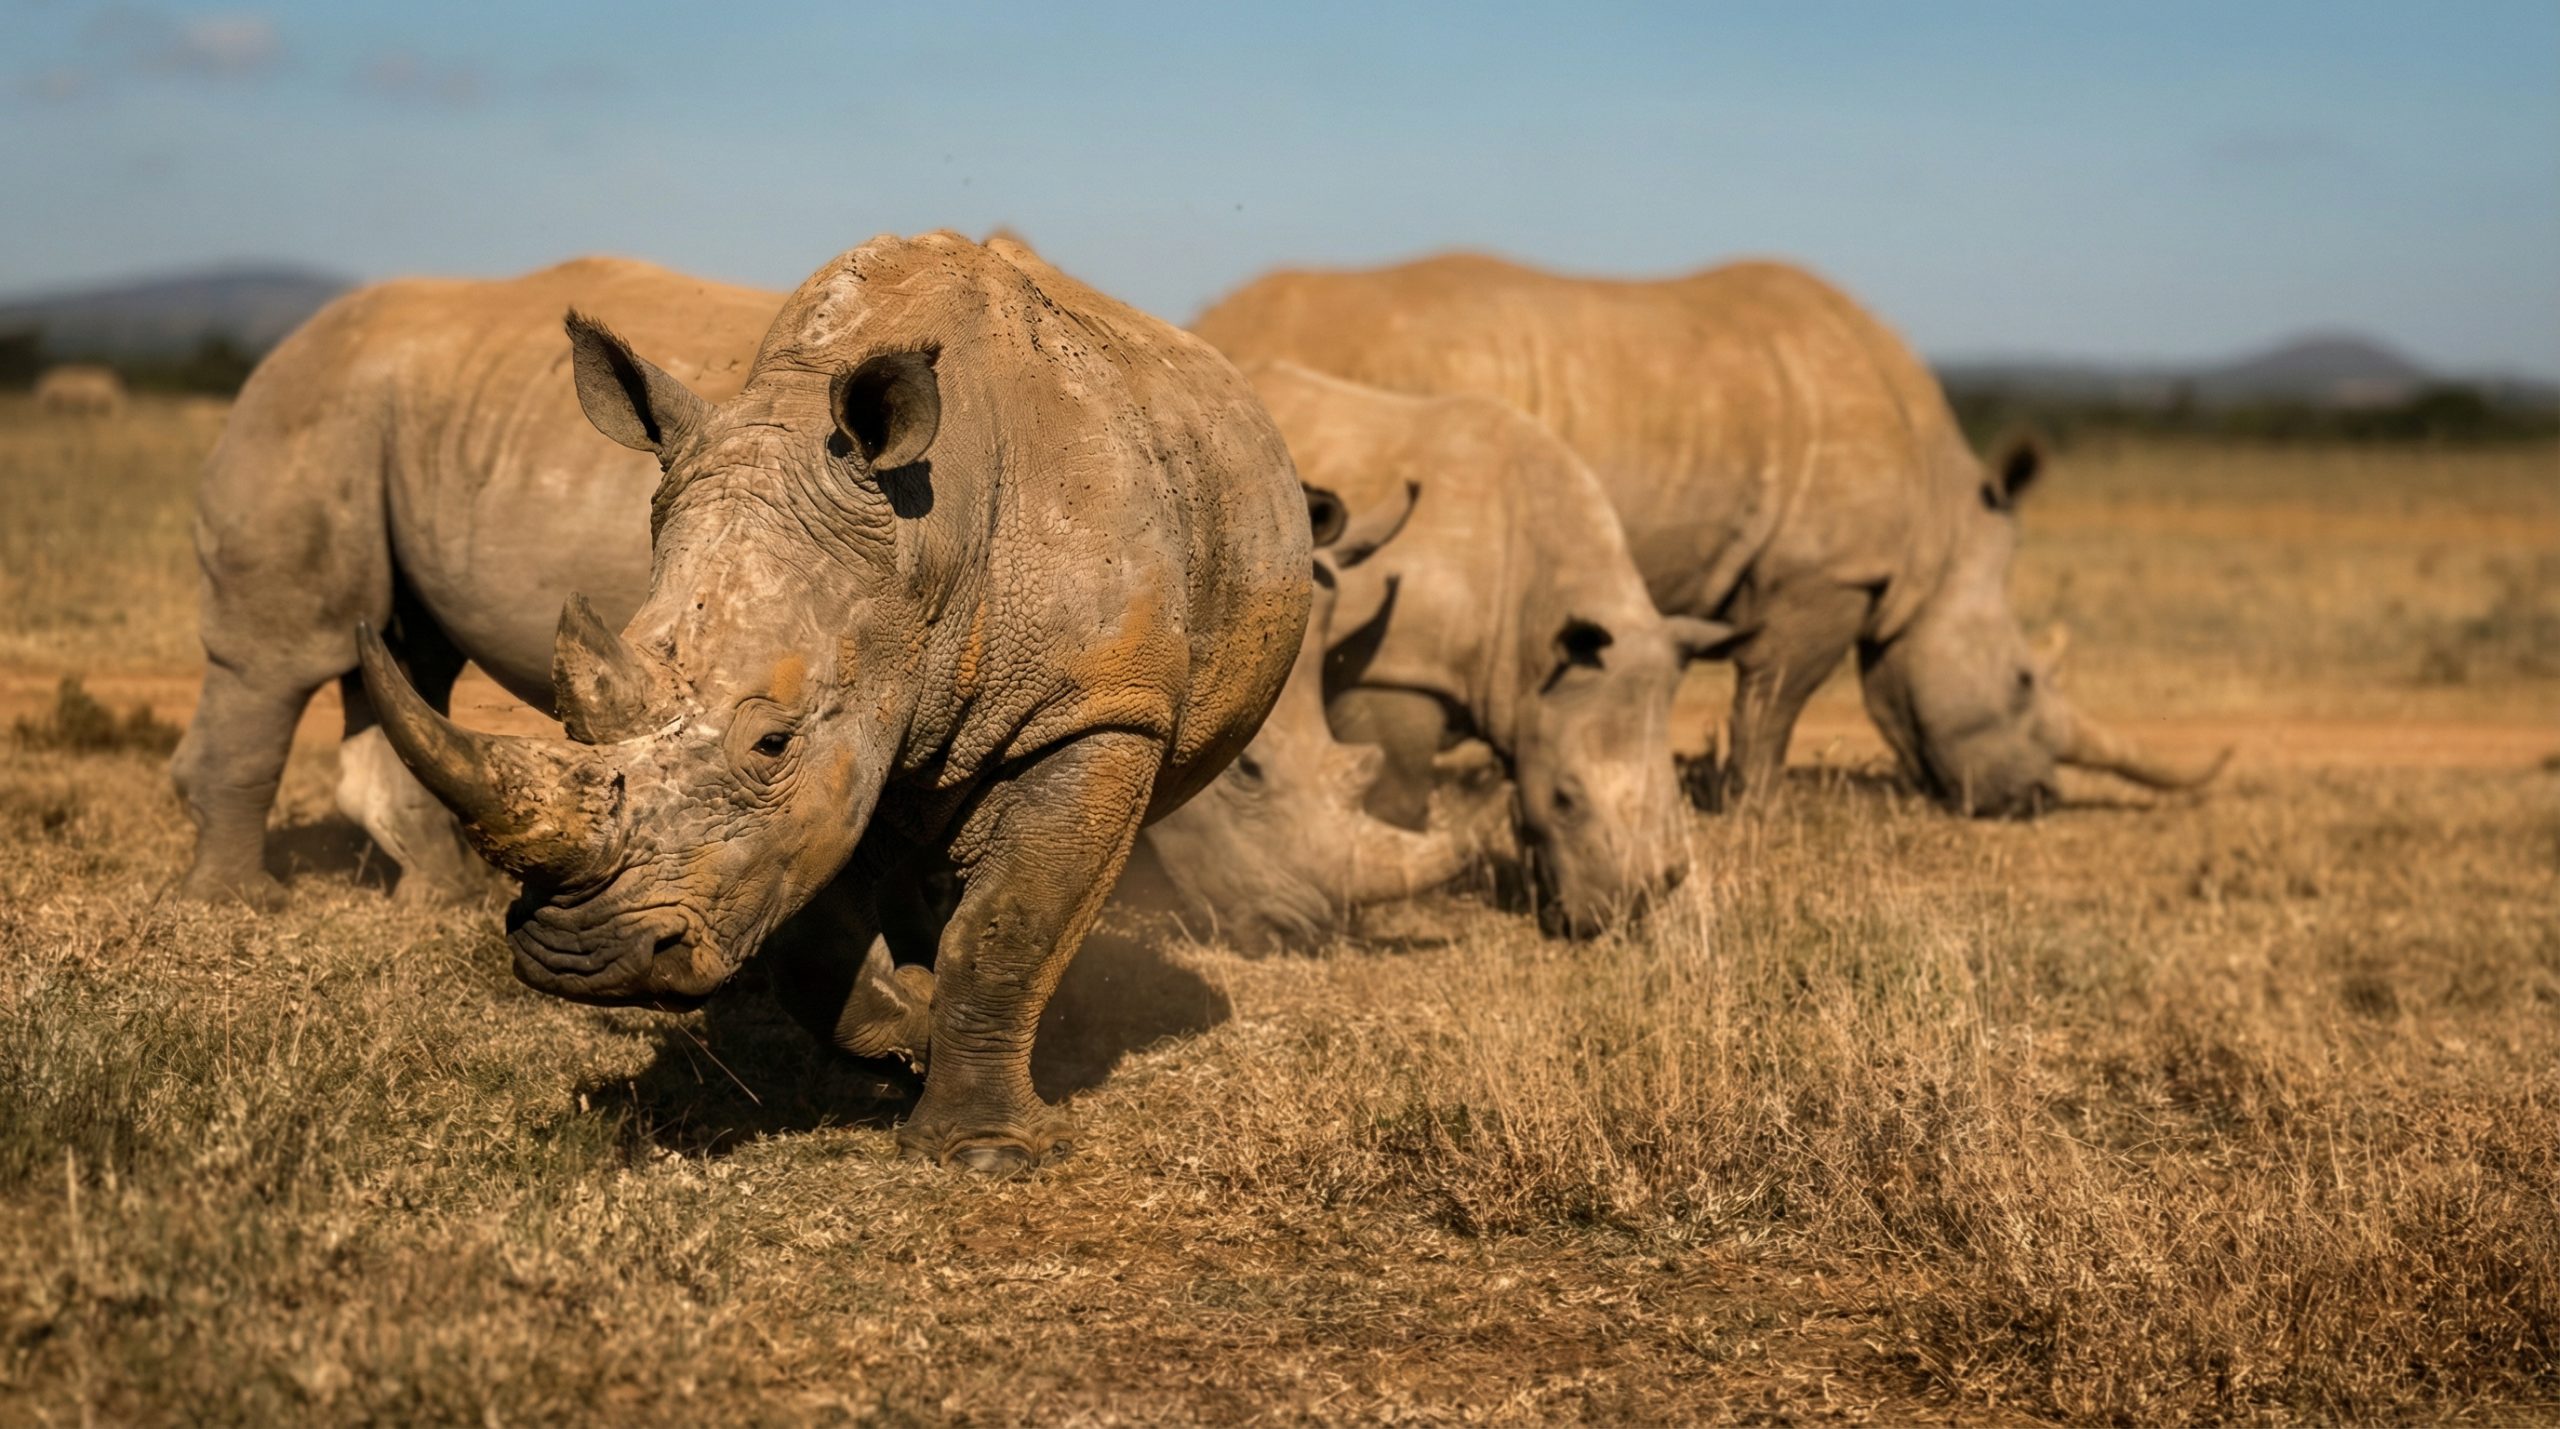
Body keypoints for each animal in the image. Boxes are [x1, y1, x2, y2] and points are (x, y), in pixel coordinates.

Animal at [179, 233, 1311, 1168]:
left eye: (771, 741)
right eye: (579, 710)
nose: (581, 960)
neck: (923, 546)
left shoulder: (1095, 707)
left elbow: (1009, 921)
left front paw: (982, 1149)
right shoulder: (846, 743)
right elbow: (807, 917)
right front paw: (900, 1036)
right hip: (325, 400)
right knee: (312, 646)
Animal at [1197, 256, 2227, 815]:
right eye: (2021, 682)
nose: (2035, 799)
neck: (1943, 527)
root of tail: (1212, 317)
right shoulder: (1830, 574)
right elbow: (1776, 698)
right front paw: (1754, 809)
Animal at [1246, 362, 1731, 935]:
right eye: (1565, 800)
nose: (1624, 912)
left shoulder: (1525, 683)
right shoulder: (1397, 669)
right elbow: (1401, 789)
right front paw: (1407, 908)